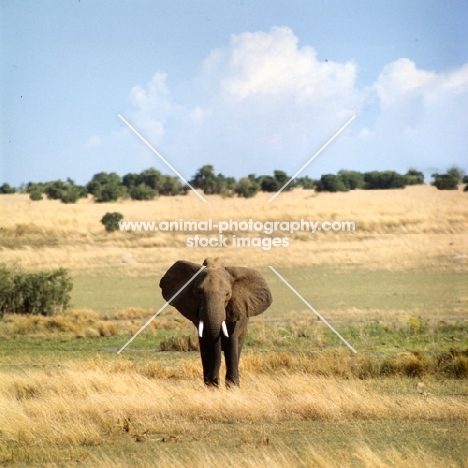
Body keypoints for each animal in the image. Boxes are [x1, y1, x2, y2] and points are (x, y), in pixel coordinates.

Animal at [160, 258, 272, 386]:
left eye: (228, 294)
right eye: (198, 292)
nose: (211, 378)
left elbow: (231, 344)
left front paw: (232, 387)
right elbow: (206, 346)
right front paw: (212, 387)